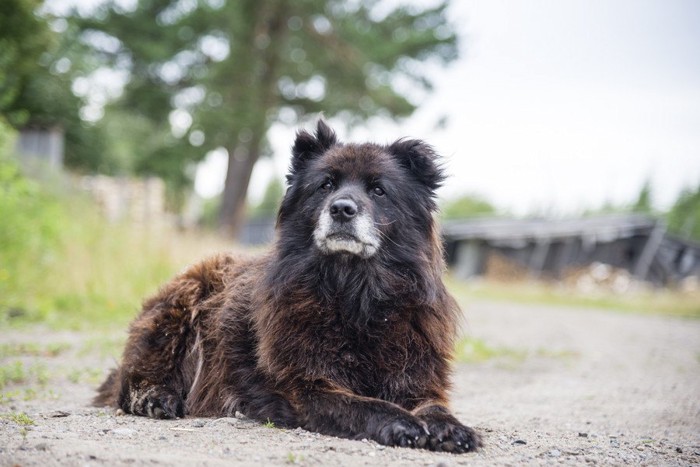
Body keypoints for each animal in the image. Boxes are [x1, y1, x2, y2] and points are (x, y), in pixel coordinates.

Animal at [95, 120, 482, 454]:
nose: (342, 209)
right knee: (130, 381)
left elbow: (434, 406)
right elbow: (365, 405)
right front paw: (401, 422)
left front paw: (452, 428)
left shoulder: (416, 378)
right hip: (178, 307)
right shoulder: (305, 386)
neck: (354, 294)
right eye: (326, 185)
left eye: (378, 190)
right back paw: (155, 398)